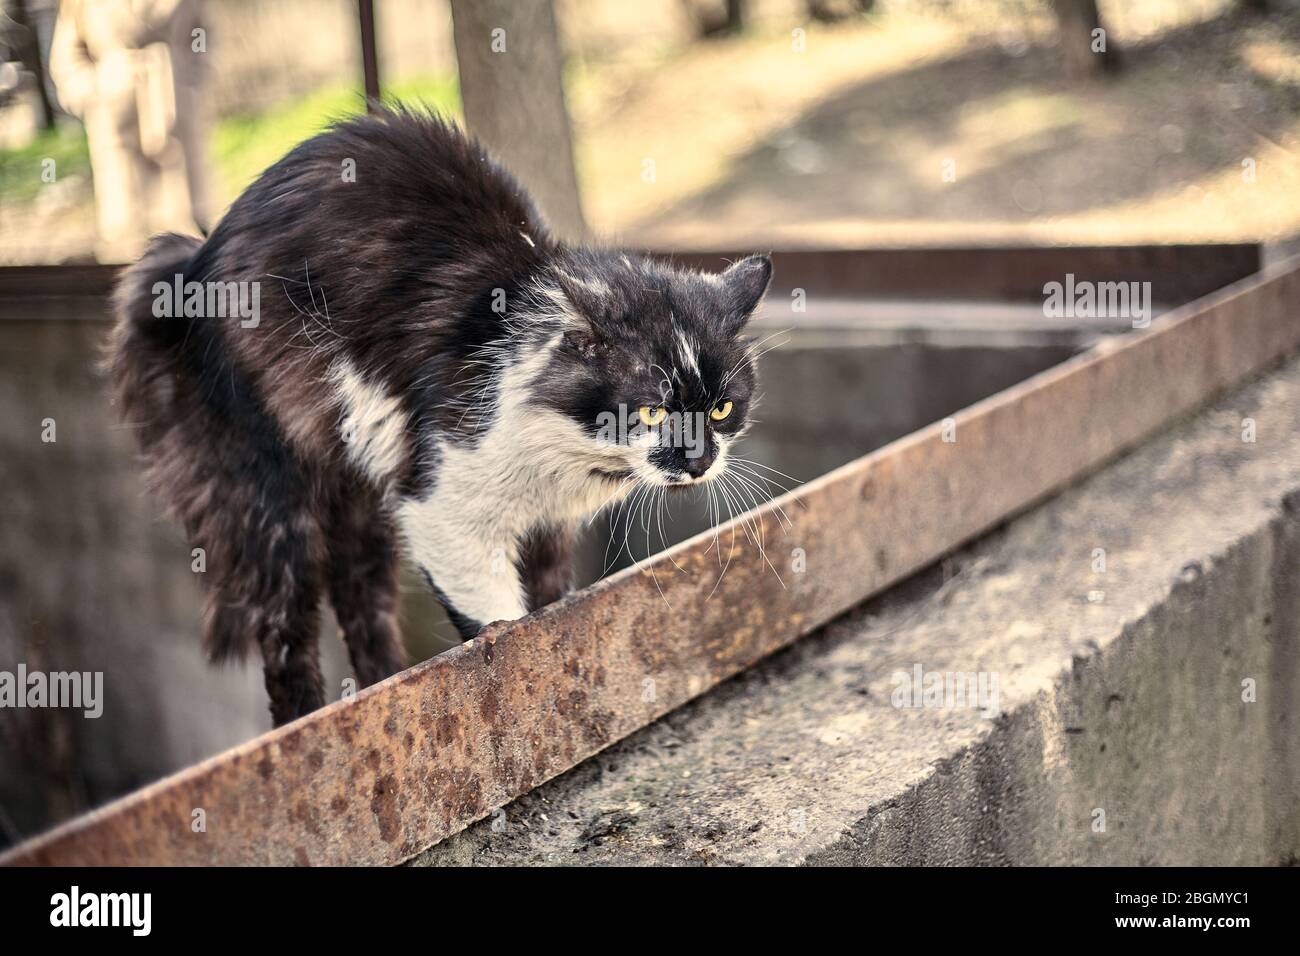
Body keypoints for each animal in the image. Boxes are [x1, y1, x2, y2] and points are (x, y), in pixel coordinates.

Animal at [114, 108, 769, 723]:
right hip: (271, 495)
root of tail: (189, 261)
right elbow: (501, 623)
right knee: (284, 637)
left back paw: (377, 692)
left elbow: (554, 602)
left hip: (360, 488)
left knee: (362, 600)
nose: (699, 461)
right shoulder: (442, 502)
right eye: (653, 412)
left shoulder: (546, 524)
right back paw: (308, 723)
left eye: (721, 408)